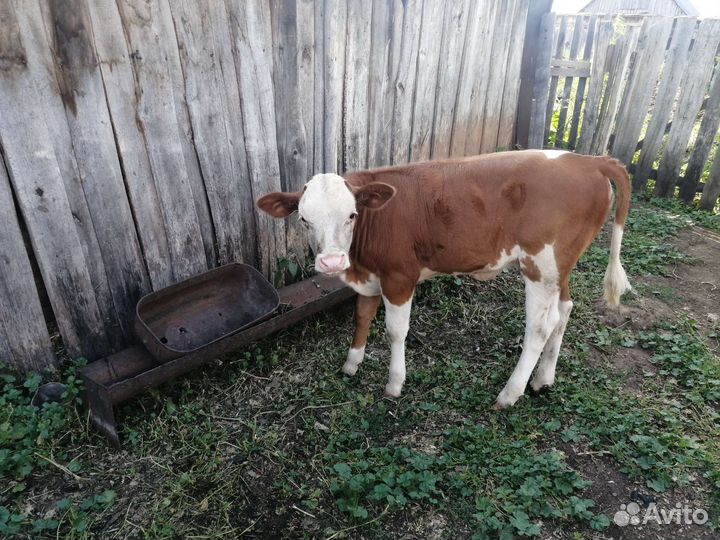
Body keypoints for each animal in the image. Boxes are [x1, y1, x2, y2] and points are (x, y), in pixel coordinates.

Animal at [257, 150, 631, 409]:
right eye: (303, 219)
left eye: (352, 214)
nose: (332, 261)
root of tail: (589, 161)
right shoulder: (371, 276)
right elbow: (361, 317)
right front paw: (351, 364)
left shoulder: (399, 276)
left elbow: (395, 331)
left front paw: (394, 384)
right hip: (560, 266)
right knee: (565, 310)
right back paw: (543, 379)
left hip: (540, 265)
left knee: (540, 326)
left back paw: (510, 394)